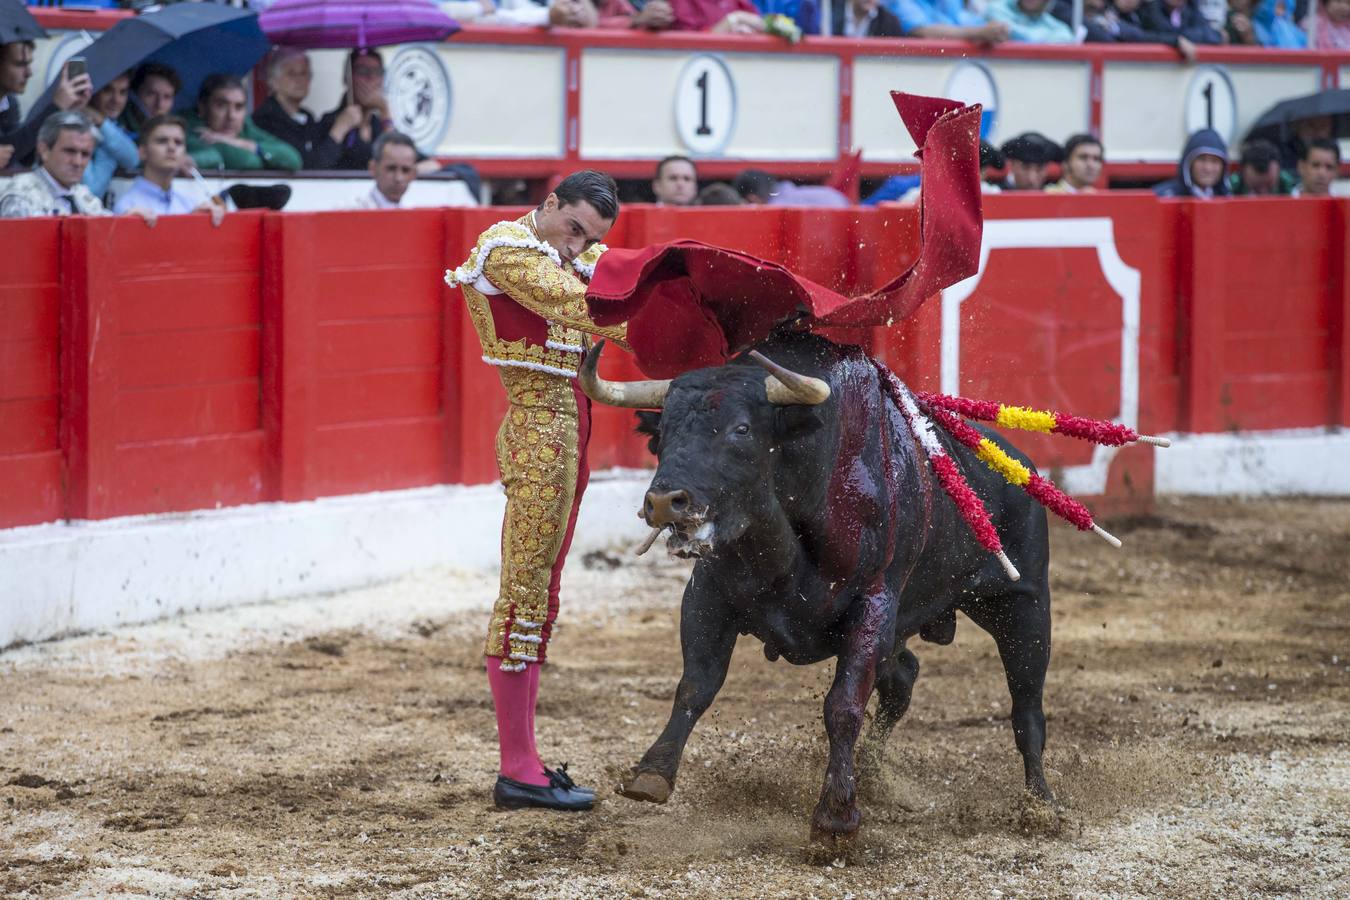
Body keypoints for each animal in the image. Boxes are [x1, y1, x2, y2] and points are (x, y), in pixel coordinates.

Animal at [580, 334, 1053, 858]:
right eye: (662, 431)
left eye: (742, 429)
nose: (665, 502)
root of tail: (1021, 467)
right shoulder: (707, 596)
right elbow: (695, 686)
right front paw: (651, 773)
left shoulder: (874, 603)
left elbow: (843, 706)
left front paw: (835, 818)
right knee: (903, 678)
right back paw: (871, 773)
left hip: (1024, 606)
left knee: (1026, 705)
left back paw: (1040, 806)